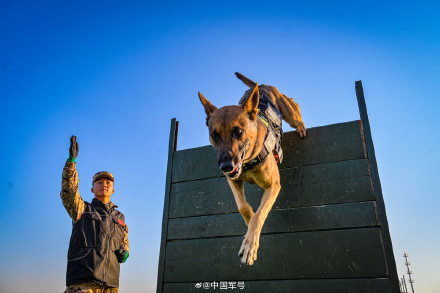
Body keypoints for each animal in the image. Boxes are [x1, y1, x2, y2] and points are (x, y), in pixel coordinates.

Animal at [199, 73, 306, 264]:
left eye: (238, 132)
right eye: (214, 135)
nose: (225, 167)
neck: (248, 161)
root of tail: (262, 85)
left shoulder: (273, 186)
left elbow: (259, 215)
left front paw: (250, 245)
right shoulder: (233, 181)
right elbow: (243, 207)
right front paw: (248, 230)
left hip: (290, 112)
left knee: (295, 105)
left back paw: (301, 126)